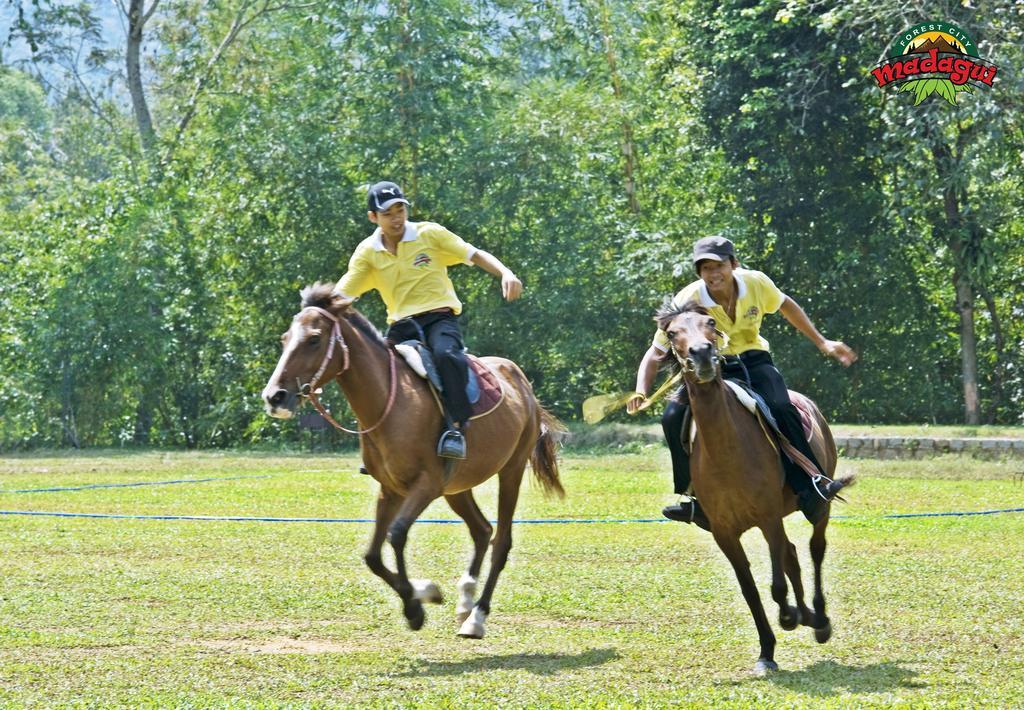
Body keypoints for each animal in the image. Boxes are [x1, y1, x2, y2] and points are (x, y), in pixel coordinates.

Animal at [256, 284, 561, 639]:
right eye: (285, 338)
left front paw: (415, 605)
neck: (390, 401)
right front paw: (423, 593)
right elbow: (372, 556)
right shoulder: (390, 489)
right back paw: (465, 601)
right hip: (457, 487)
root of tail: (523, 385)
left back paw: (477, 616)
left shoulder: (425, 485)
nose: (275, 396)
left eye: (314, 339)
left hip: (509, 472)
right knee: (482, 530)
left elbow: (397, 534)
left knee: (501, 541)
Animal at [655, 301, 847, 676]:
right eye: (671, 333)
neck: (727, 451)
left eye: (709, 322)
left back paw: (819, 619)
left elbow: (776, 584)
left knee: (815, 549)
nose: (702, 354)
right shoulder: (724, 532)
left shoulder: (768, 517)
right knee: (792, 554)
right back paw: (806, 615)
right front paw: (767, 651)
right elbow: (751, 591)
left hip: (820, 505)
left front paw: (788, 617)